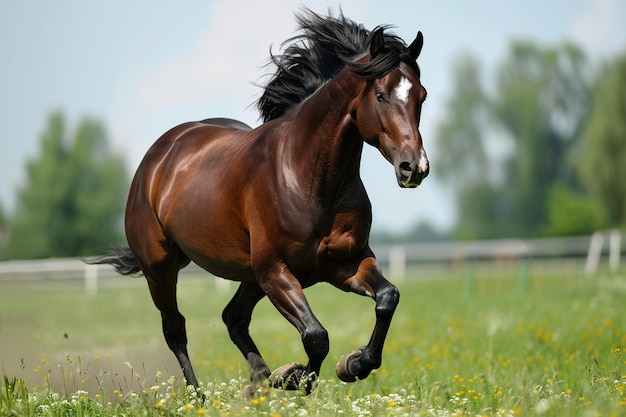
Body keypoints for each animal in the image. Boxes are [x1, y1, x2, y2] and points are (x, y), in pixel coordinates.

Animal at [88, 9, 426, 394]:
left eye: (422, 96)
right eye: (381, 95)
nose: (414, 167)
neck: (307, 178)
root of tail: (159, 155)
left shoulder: (345, 263)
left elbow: (387, 298)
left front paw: (352, 364)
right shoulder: (275, 272)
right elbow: (316, 337)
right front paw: (293, 377)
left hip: (247, 275)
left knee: (232, 317)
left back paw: (259, 381)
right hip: (161, 269)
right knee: (176, 330)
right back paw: (202, 396)